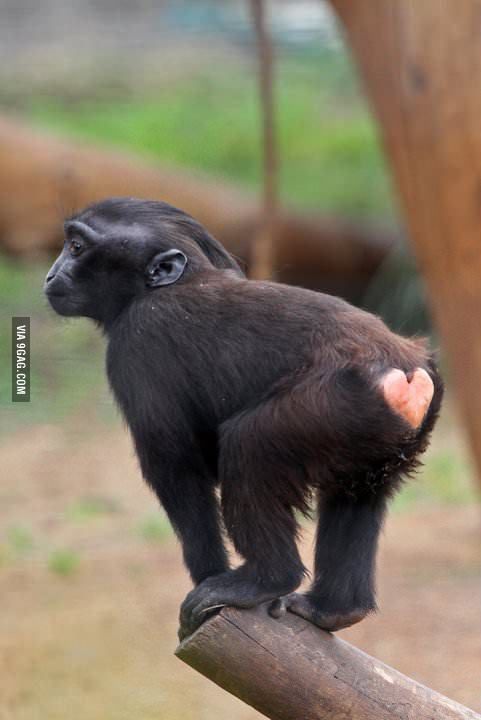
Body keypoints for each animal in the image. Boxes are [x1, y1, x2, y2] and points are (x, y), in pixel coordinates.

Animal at [45, 195, 442, 636]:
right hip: (376, 438)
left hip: (336, 405)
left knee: (249, 443)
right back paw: (336, 609)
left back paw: (266, 578)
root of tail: (405, 372)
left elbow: (175, 468)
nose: (51, 274)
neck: (177, 281)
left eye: (76, 248)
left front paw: (209, 577)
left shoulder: (136, 343)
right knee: (355, 492)